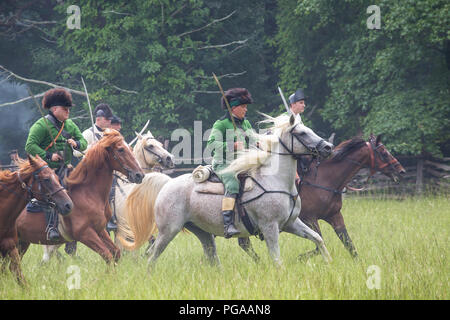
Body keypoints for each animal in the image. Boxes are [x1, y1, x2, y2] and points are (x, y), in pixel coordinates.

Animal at [15, 129, 143, 264]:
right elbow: (107, 255)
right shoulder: (84, 234)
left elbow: (116, 253)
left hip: (22, 241)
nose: (139, 175)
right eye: (120, 149)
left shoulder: (100, 229)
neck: (88, 193)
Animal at [118, 115, 336, 268]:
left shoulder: (291, 223)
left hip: (203, 233)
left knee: (212, 258)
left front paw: (329, 263)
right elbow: (276, 259)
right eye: (302, 133)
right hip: (168, 231)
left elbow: (318, 239)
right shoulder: (270, 227)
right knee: (151, 257)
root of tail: (167, 184)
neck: (276, 181)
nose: (328, 147)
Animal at [237, 134, 406, 262]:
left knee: (244, 243)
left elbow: (348, 244)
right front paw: (299, 258)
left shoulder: (335, 216)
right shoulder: (310, 219)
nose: (401, 171)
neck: (324, 179)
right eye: (383, 152)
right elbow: (318, 245)